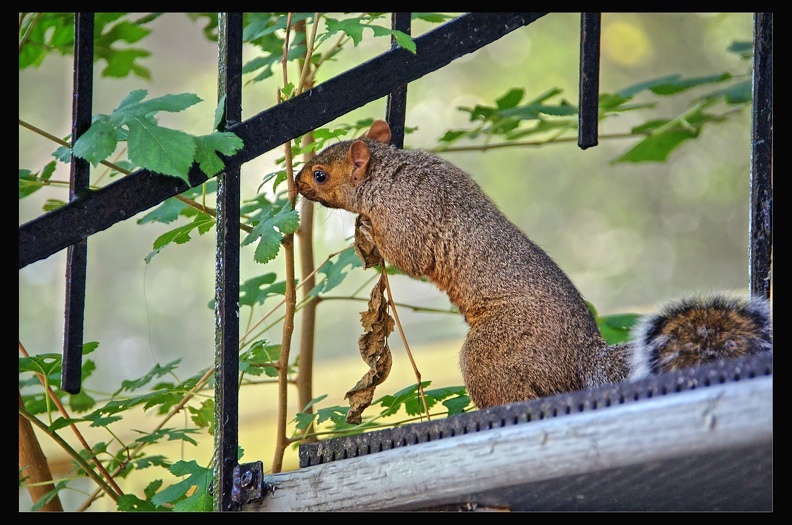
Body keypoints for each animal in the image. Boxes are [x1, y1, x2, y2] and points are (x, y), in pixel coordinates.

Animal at [294, 119, 772, 410]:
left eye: (320, 174)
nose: (296, 181)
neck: (385, 173)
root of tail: (583, 358)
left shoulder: (409, 215)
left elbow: (408, 254)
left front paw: (365, 231)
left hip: (496, 351)